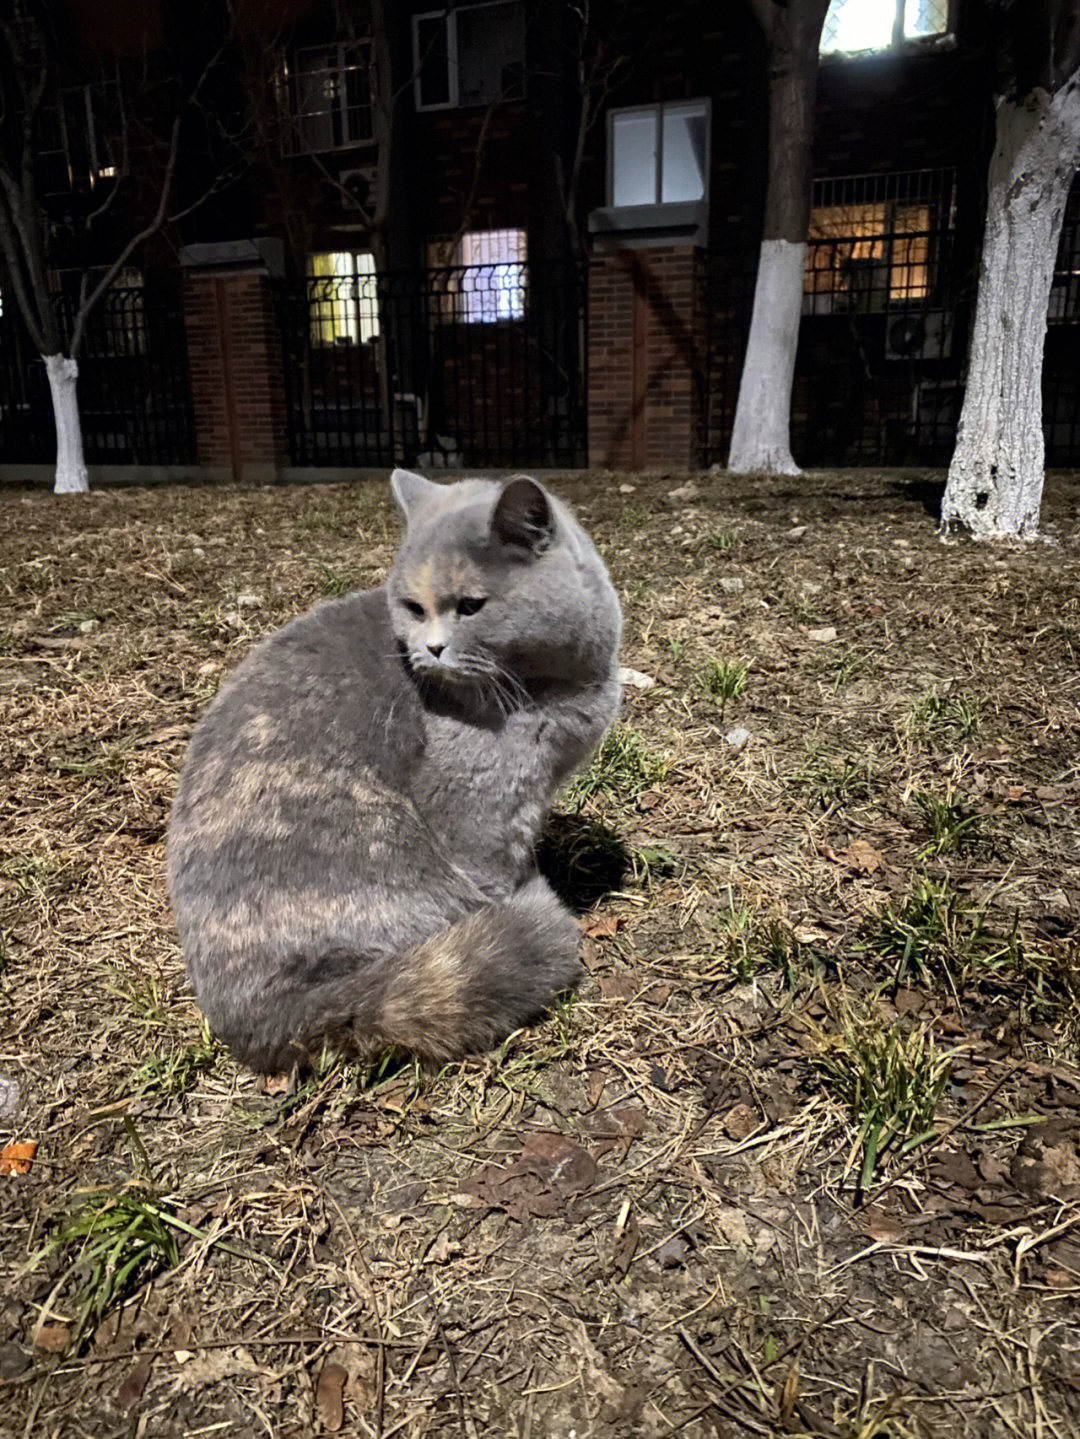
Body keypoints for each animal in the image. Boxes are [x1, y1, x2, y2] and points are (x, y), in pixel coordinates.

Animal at [164, 471, 621, 1070]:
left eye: (471, 605)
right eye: (411, 605)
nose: (431, 649)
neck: (556, 690)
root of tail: (252, 1021)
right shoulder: (480, 814)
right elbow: (495, 870)